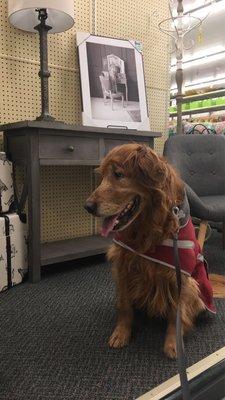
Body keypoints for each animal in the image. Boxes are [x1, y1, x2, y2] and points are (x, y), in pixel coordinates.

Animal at [85, 144, 225, 360]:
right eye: (102, 176)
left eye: (118, 174)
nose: (88, 206)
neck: (148, 229)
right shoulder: (123, 264)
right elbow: (125, 306)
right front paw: (121, 333)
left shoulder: (179, 275)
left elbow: (176, 314)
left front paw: (174, 343)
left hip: (197, 287)